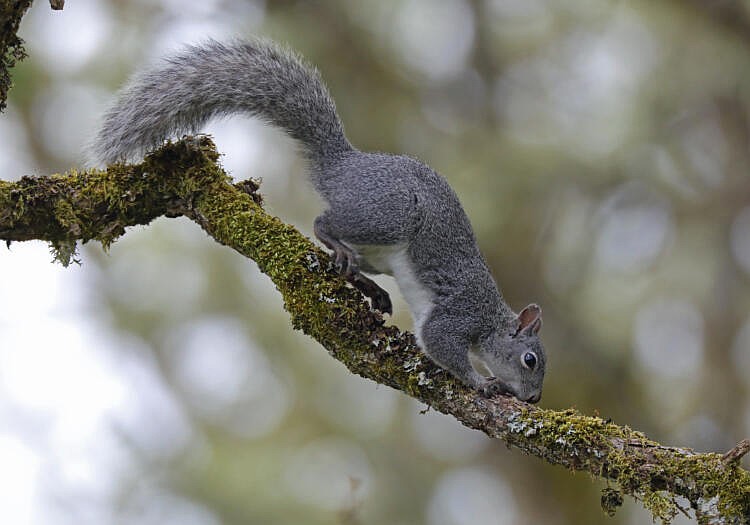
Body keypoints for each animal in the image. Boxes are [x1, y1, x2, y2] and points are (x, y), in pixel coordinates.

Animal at [91, 39, 546, 403]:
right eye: (530, 360)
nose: (534, 400)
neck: (491, 317)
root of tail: (342, 166)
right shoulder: (459, 313)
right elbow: (441, 343)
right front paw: (482, 382)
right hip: (388, 215)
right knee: (323, 223)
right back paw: (338, 247)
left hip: (379, 250)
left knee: (351, 260)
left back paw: (370, 288)